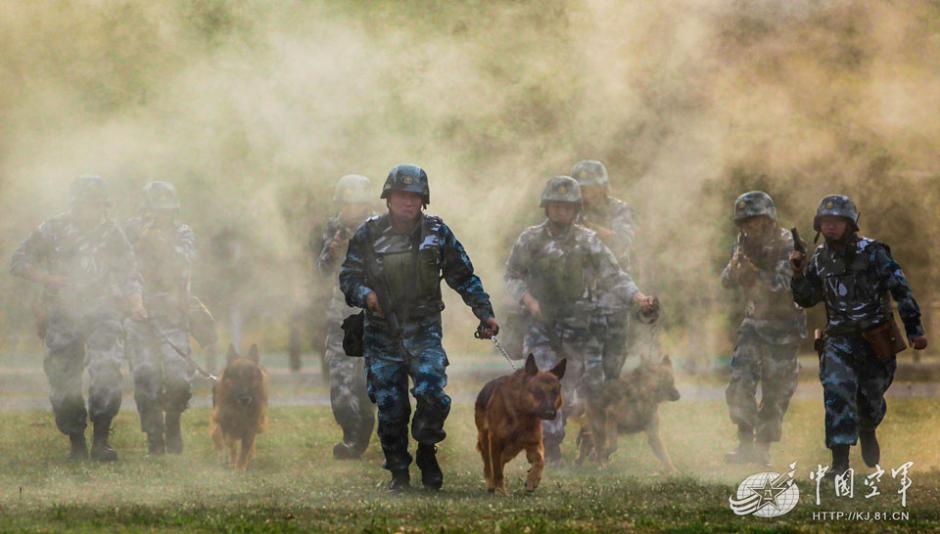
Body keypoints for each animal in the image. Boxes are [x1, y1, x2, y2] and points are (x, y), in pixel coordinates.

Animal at [478, 356, 564, 498]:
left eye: (555, 392)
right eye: (538, 392)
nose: (550, 413)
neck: (522, 413)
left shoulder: (534, 443)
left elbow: (540, 461)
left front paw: (532, 480)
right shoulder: (495, 441)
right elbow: (497, 470)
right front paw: (501, 491)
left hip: (511, 450)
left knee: (500, 461)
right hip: (486, 442)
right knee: (489, 465)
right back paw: (491, 484)